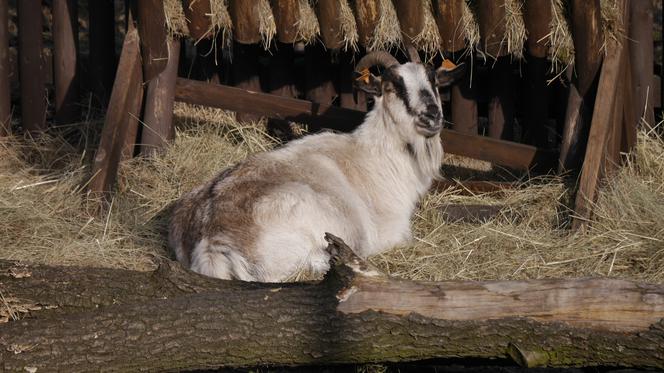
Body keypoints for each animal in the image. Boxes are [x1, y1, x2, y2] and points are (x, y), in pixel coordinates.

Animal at [169, 50, 464, 280]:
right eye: (396, 87)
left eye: (434, 81)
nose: (432, 116)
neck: (377, 153)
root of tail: (213, 240)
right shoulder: (394, 232)